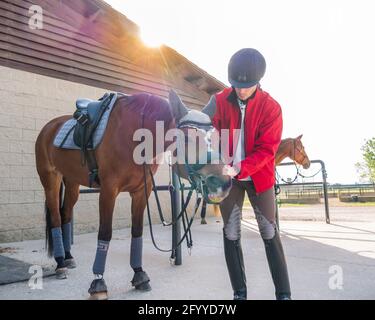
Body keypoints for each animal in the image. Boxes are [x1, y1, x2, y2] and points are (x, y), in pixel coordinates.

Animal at [35, 90, 232, 300]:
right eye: (186, 138)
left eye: (218, 138)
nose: (223, 182)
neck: (135, 138)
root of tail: (49, 127)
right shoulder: (108, 191)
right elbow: (105, 233)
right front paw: (98, 282)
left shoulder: (141, 192)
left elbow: (137, 231)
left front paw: (139, 274)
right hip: (51, 180)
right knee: (56, 217)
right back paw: (60, 264)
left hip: (72, 182)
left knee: (66, 214)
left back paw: (68, 257)